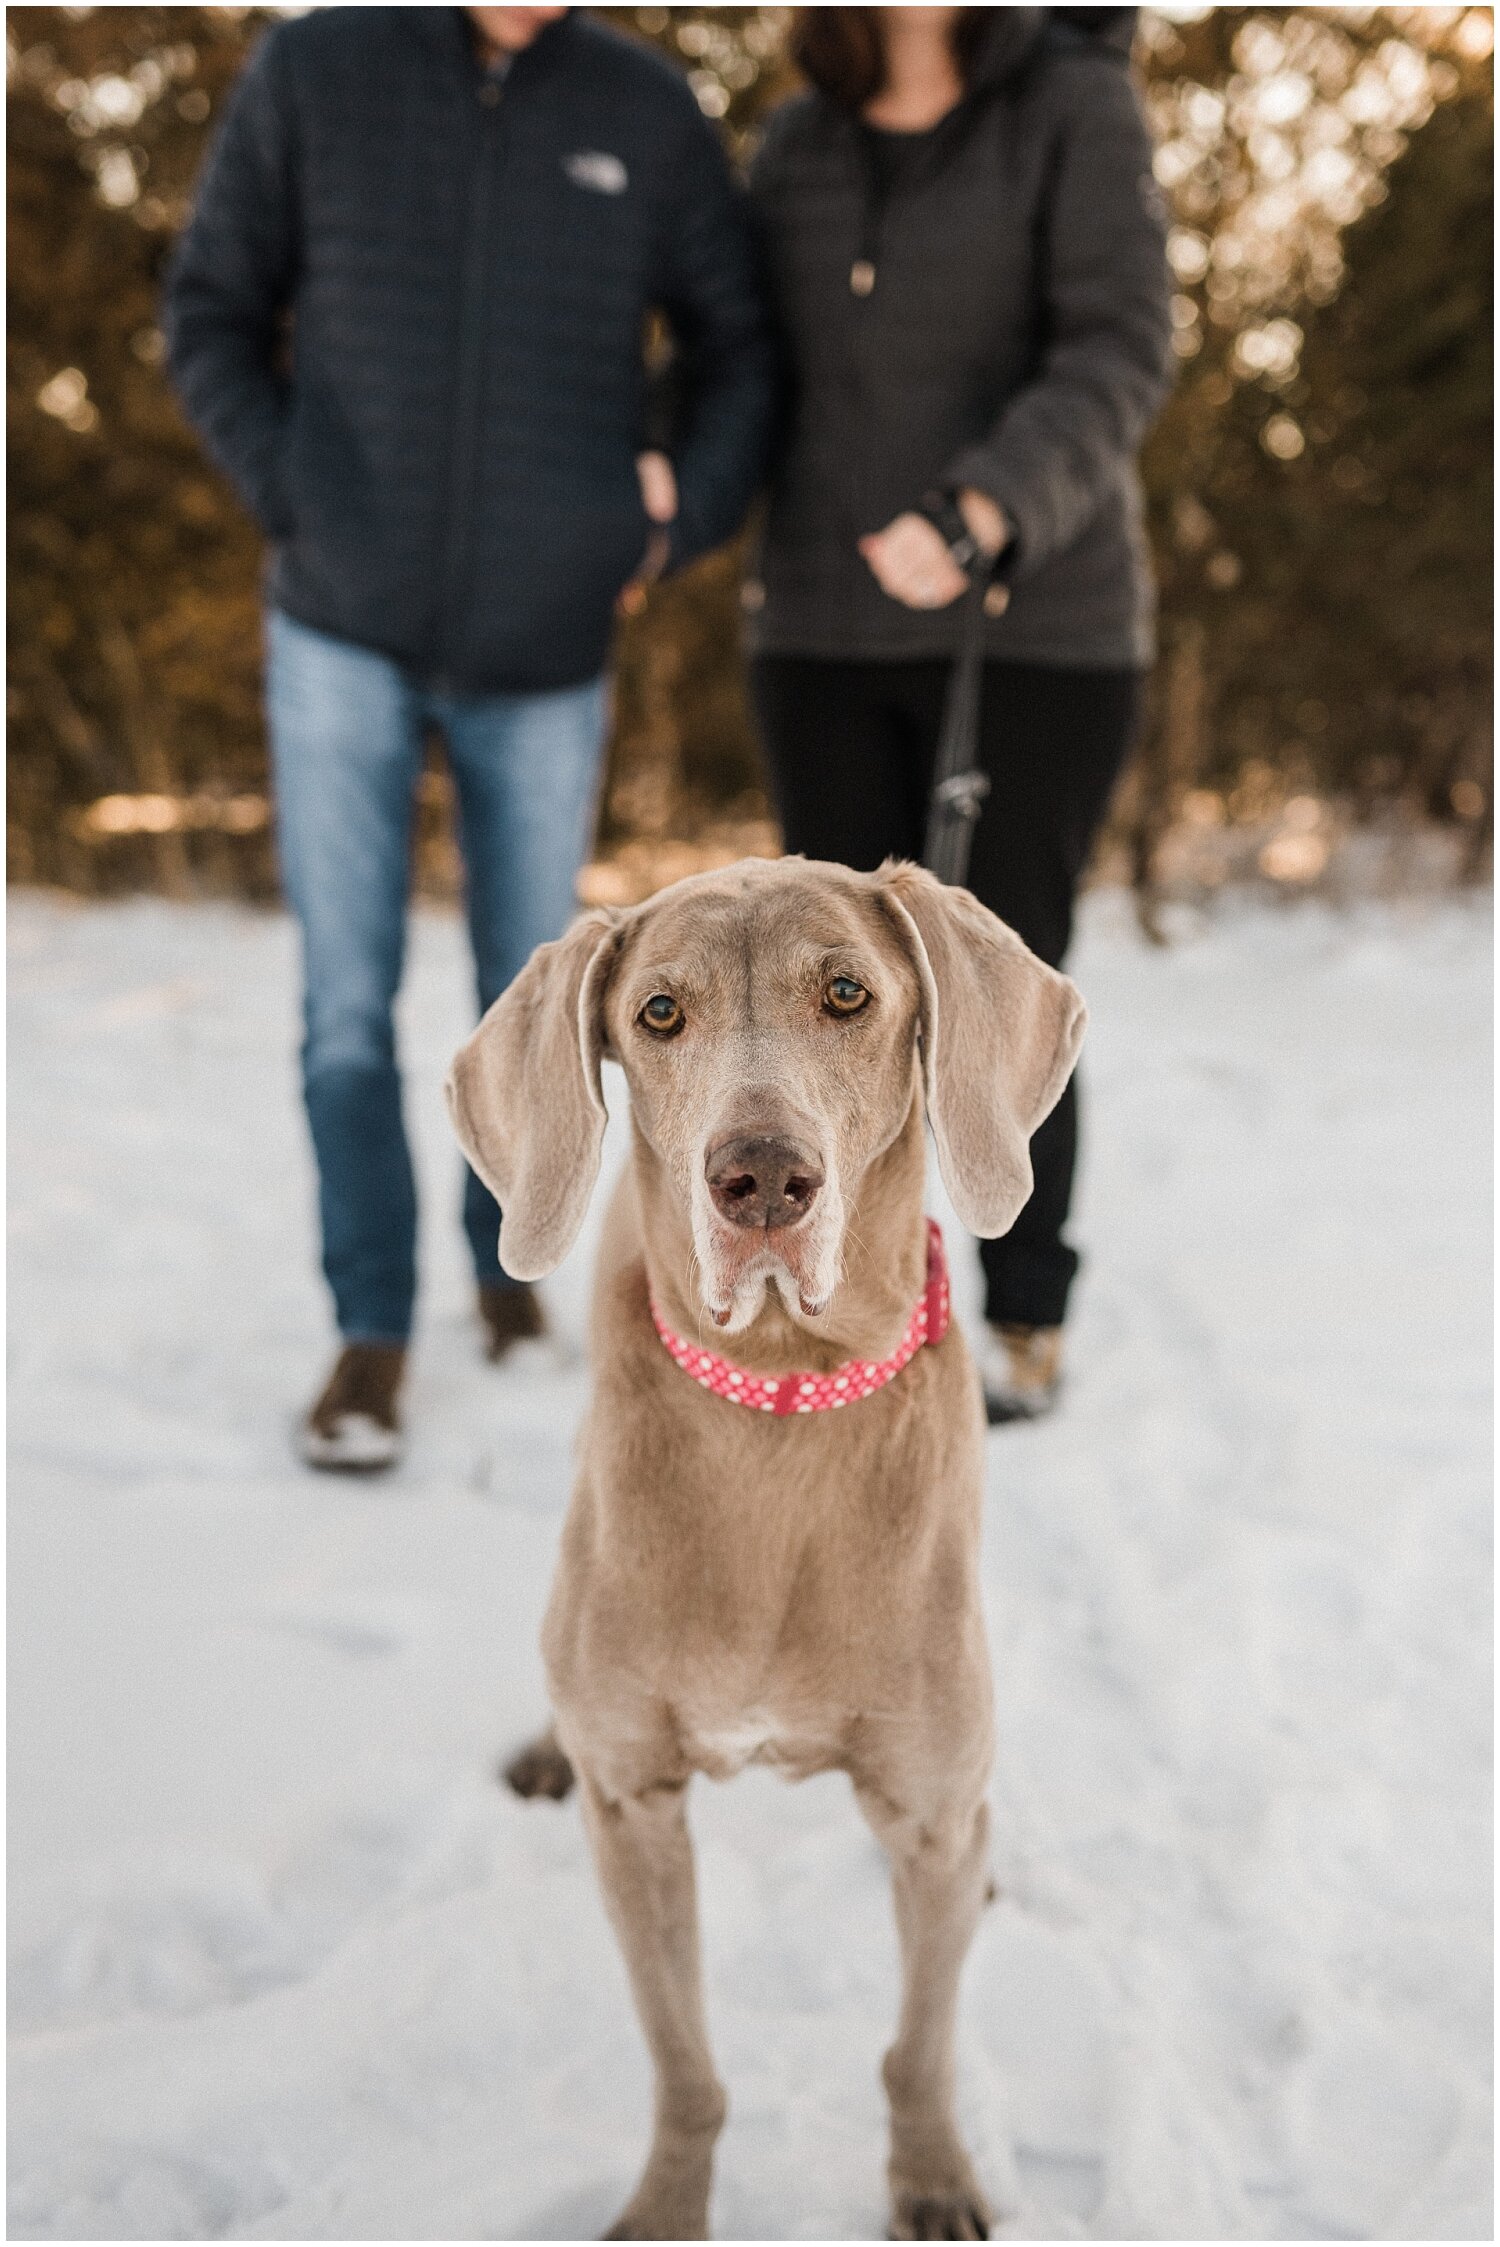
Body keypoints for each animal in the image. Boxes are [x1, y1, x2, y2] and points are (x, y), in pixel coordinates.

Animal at [442, 853, 1077, 2229]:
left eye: (847, 993)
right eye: (657, 1013)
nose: (762, 1179)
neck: (782, 1401)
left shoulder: (929, 1816)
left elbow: (919, 2042)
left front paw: (932, 2180)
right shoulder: (636, 1811)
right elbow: (684, 2063)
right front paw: (668, 2209)